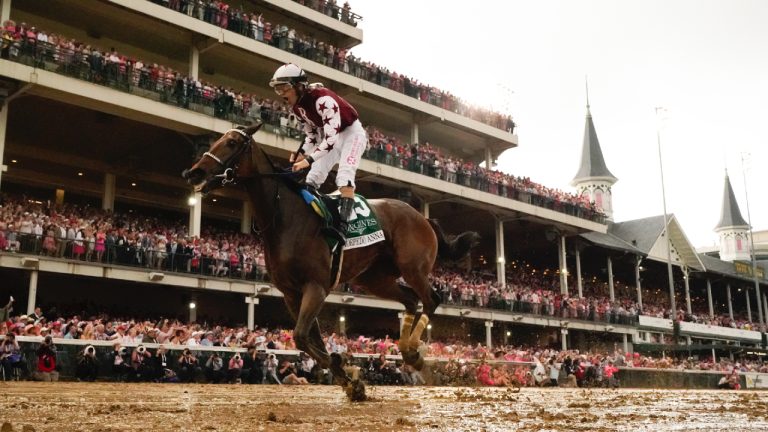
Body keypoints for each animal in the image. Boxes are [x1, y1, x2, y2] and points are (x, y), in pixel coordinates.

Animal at [182, 123, 476, 400]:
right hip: (375, 279)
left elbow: (301, 336)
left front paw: (345, 372)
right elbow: (310, 338)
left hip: (412, 267)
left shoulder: (316, 286)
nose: (193, 172)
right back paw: (406, 350)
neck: (284, 217)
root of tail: (423, 217)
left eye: (231, 142)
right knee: (411, 300)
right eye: (216, 140)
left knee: (430, 299)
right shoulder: (291, 293)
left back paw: (413, 353)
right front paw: (346, 375)